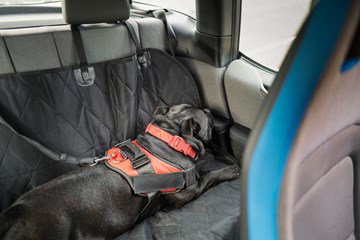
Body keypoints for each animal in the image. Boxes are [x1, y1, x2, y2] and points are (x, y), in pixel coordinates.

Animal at [0, 104, 242, 239]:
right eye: (208, 119)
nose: (211, 110)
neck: (170, 137)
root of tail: (14, 213)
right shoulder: (185, 193)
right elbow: (209, 177)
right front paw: (230, 170)